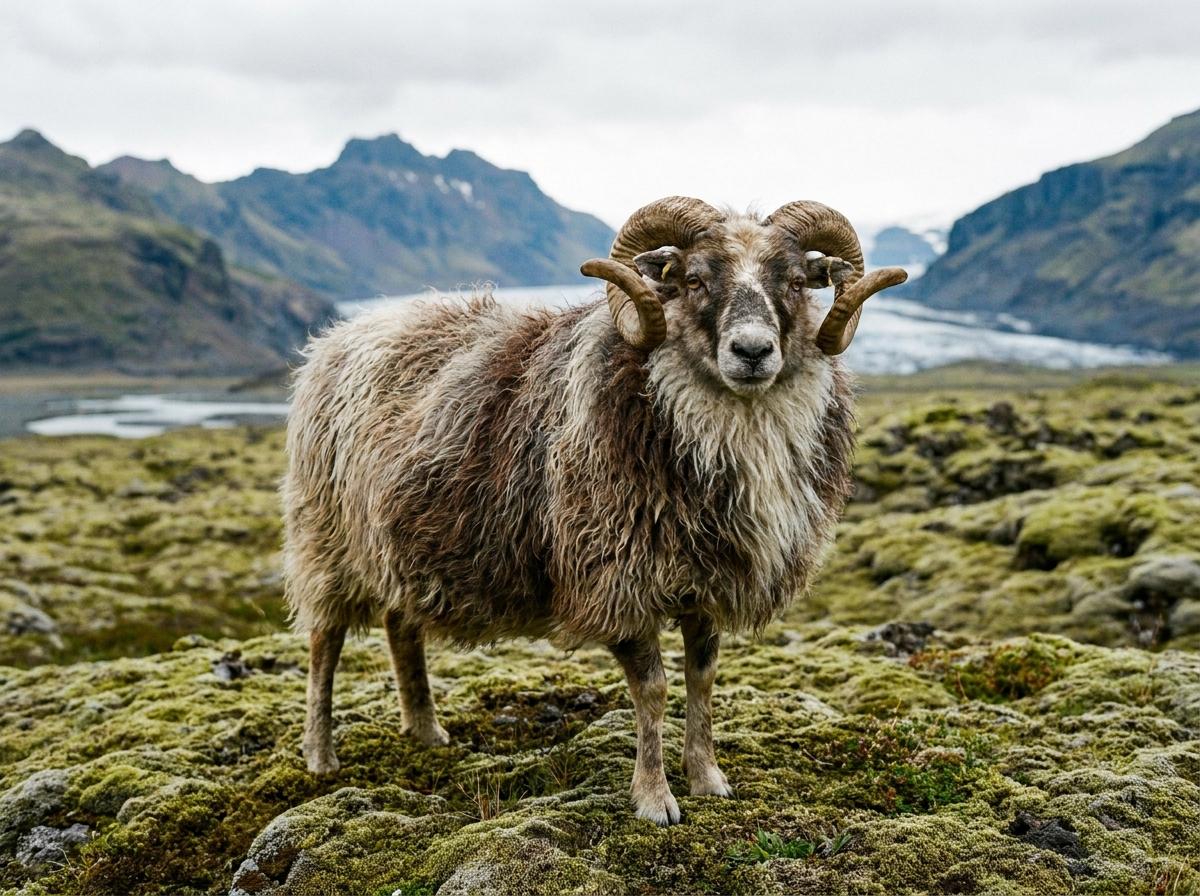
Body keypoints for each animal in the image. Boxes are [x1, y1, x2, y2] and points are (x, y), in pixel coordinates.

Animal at [282, 196, 907, 825]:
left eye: (798, 282)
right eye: (693, 280)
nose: (752, 352)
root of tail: (340, 334)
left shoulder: (708, 579)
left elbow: (703, 678)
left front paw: (707, 779)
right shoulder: (616, 579)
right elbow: (653, 690)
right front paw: (654, 799)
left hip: (400, 547)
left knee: (400, 626)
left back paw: (426, 731)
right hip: (326, 539)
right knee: (324, 643)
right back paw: (320, 756)